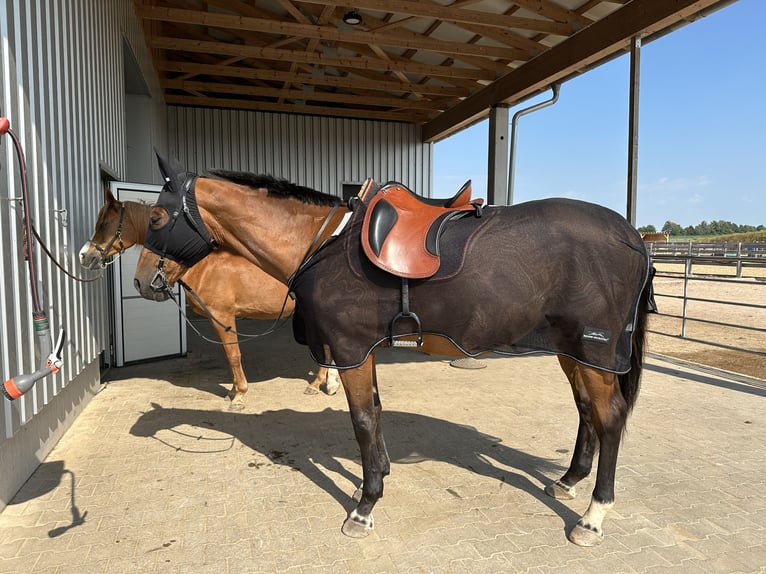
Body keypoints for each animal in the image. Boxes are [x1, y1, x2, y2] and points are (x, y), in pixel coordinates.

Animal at [79, 190, 340, 410]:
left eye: (104, 224)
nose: (85, 256)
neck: (204, 264)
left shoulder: (221, 315)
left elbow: (233, 354)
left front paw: (239, 395)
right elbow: (228, 354)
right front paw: (233, 391)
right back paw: (320, 384)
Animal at [132, 159, 656, 548]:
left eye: (156, 218)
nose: (140, 283)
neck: (321, 244)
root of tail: (631, 235)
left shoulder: (349, 351)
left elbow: (363, 421)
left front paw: (365, 506)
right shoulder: (362, 352)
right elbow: (376, 414)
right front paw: (377, 477)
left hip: (594, 352)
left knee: (609, 418)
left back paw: (592, 516)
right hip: (573, 352)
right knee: (587, 411)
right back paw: (568, 481)